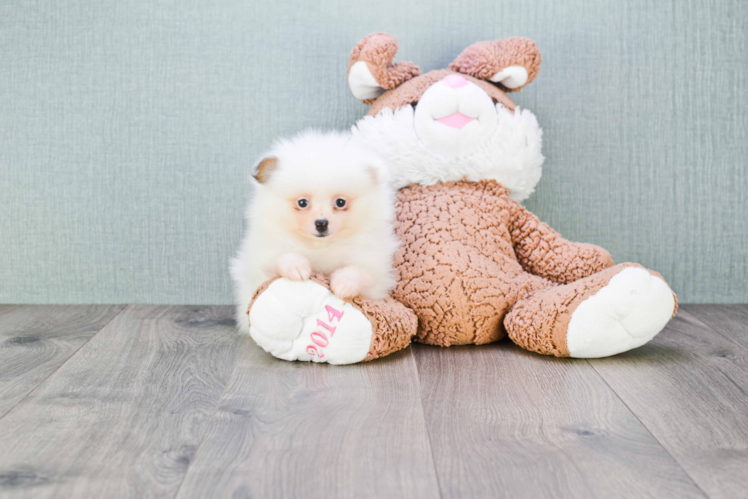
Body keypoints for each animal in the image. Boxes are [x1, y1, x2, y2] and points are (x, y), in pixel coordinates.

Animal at [231, 130, 400, 332]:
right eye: (302, 202)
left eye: (340, 202)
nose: (321, 223)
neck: (320, 245)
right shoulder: (262, 257)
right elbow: (281, 257)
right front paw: (297, 268)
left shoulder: (374, 265)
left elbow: (359, 272)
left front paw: (343, 284)